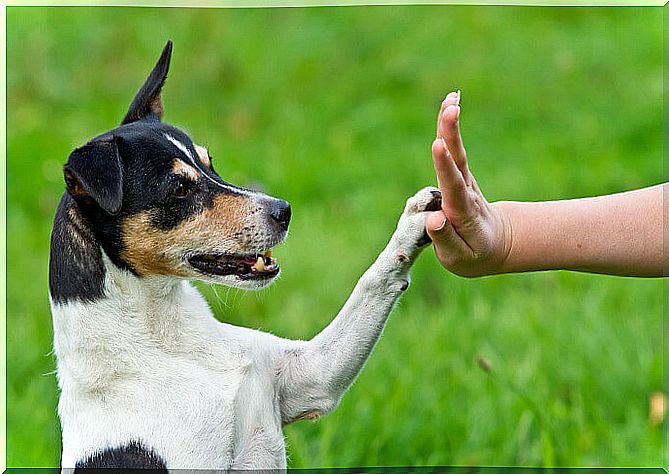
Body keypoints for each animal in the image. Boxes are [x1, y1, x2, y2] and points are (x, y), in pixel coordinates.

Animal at [49, 41, 440, 470]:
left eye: (210, 164)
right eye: (178, 189)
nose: (284, 210)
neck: (167, 343)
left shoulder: (312, 375)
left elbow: (373, 281)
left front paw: (416, 221)